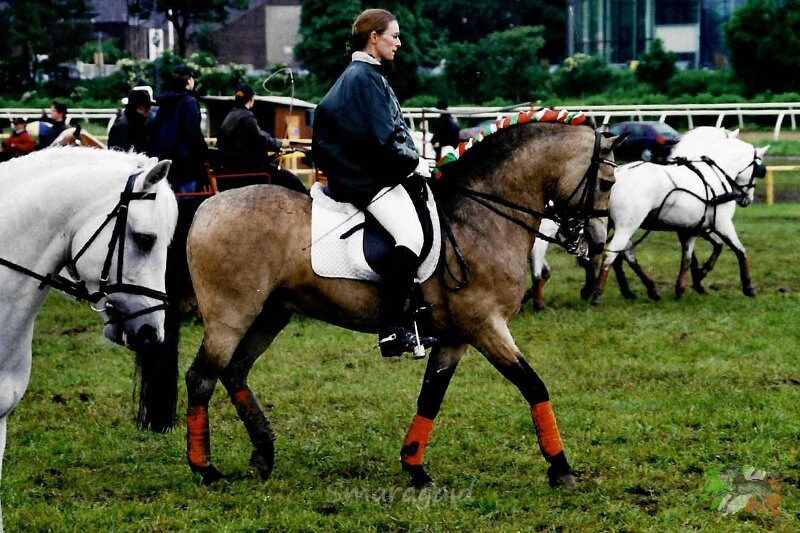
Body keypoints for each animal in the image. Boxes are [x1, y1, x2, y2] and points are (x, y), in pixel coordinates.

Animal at [175, 120, 625, 490]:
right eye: (606, 182)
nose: (595, 242)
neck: (480, 219)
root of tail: (207, 206)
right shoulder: (486, 326)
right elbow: (532, 384)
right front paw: (561, 468)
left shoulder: (456, 338)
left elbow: (431, 397)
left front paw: (415, 468)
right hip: (230, 317)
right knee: (202, 377)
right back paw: (206, 470)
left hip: (271, 314)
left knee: (234, 372)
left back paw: (263, 453)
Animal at [591, 136, 768, 304]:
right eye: (757, 169)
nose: (747, 199)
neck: (714, 175)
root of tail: (618, 175)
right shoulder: (722, 224)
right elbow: (739, 250)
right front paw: (748, 287)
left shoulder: (691, 228)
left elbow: (689, 258)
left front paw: (684, 287)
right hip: (627, 226)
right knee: (612, 253)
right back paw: (598, 293)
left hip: (607, 224)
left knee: (621, 253)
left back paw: (641, 290)